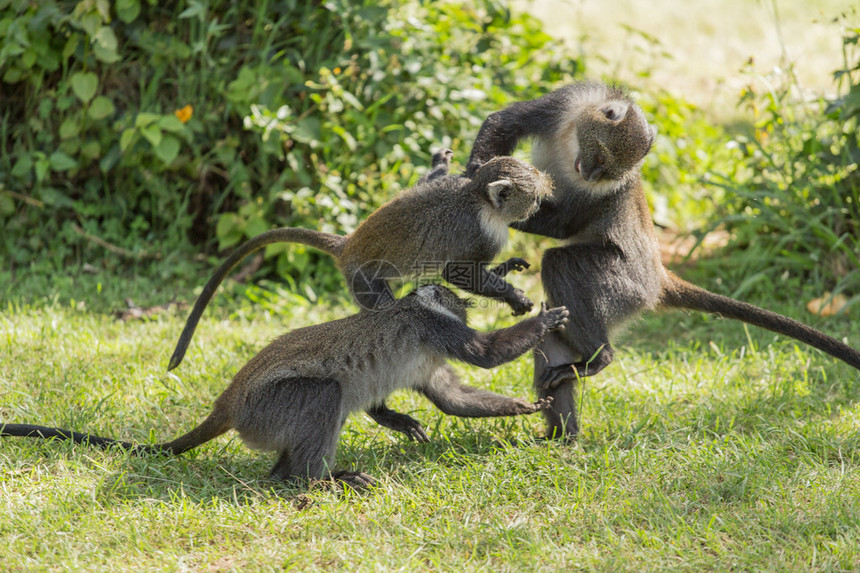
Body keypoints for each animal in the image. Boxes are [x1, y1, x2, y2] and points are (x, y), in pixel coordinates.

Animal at [6, 286, 576, 488]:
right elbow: (485, 354)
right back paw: (313, 481)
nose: (466, 301)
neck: (418, 305)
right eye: (457, 299)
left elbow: (454, 399)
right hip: (267, 409)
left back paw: (286, 476)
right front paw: (546, 321)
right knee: (324, 395)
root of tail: (231, 402)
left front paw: (527, 406)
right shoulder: (434, 326)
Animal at [167, 154, 552, 374]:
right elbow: (455, 272)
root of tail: (347, 245)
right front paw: (515, 297)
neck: (477, 195)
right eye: (532, 197)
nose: (537, 207)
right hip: (361, 280)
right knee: (384, 308)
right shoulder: (481, 231)